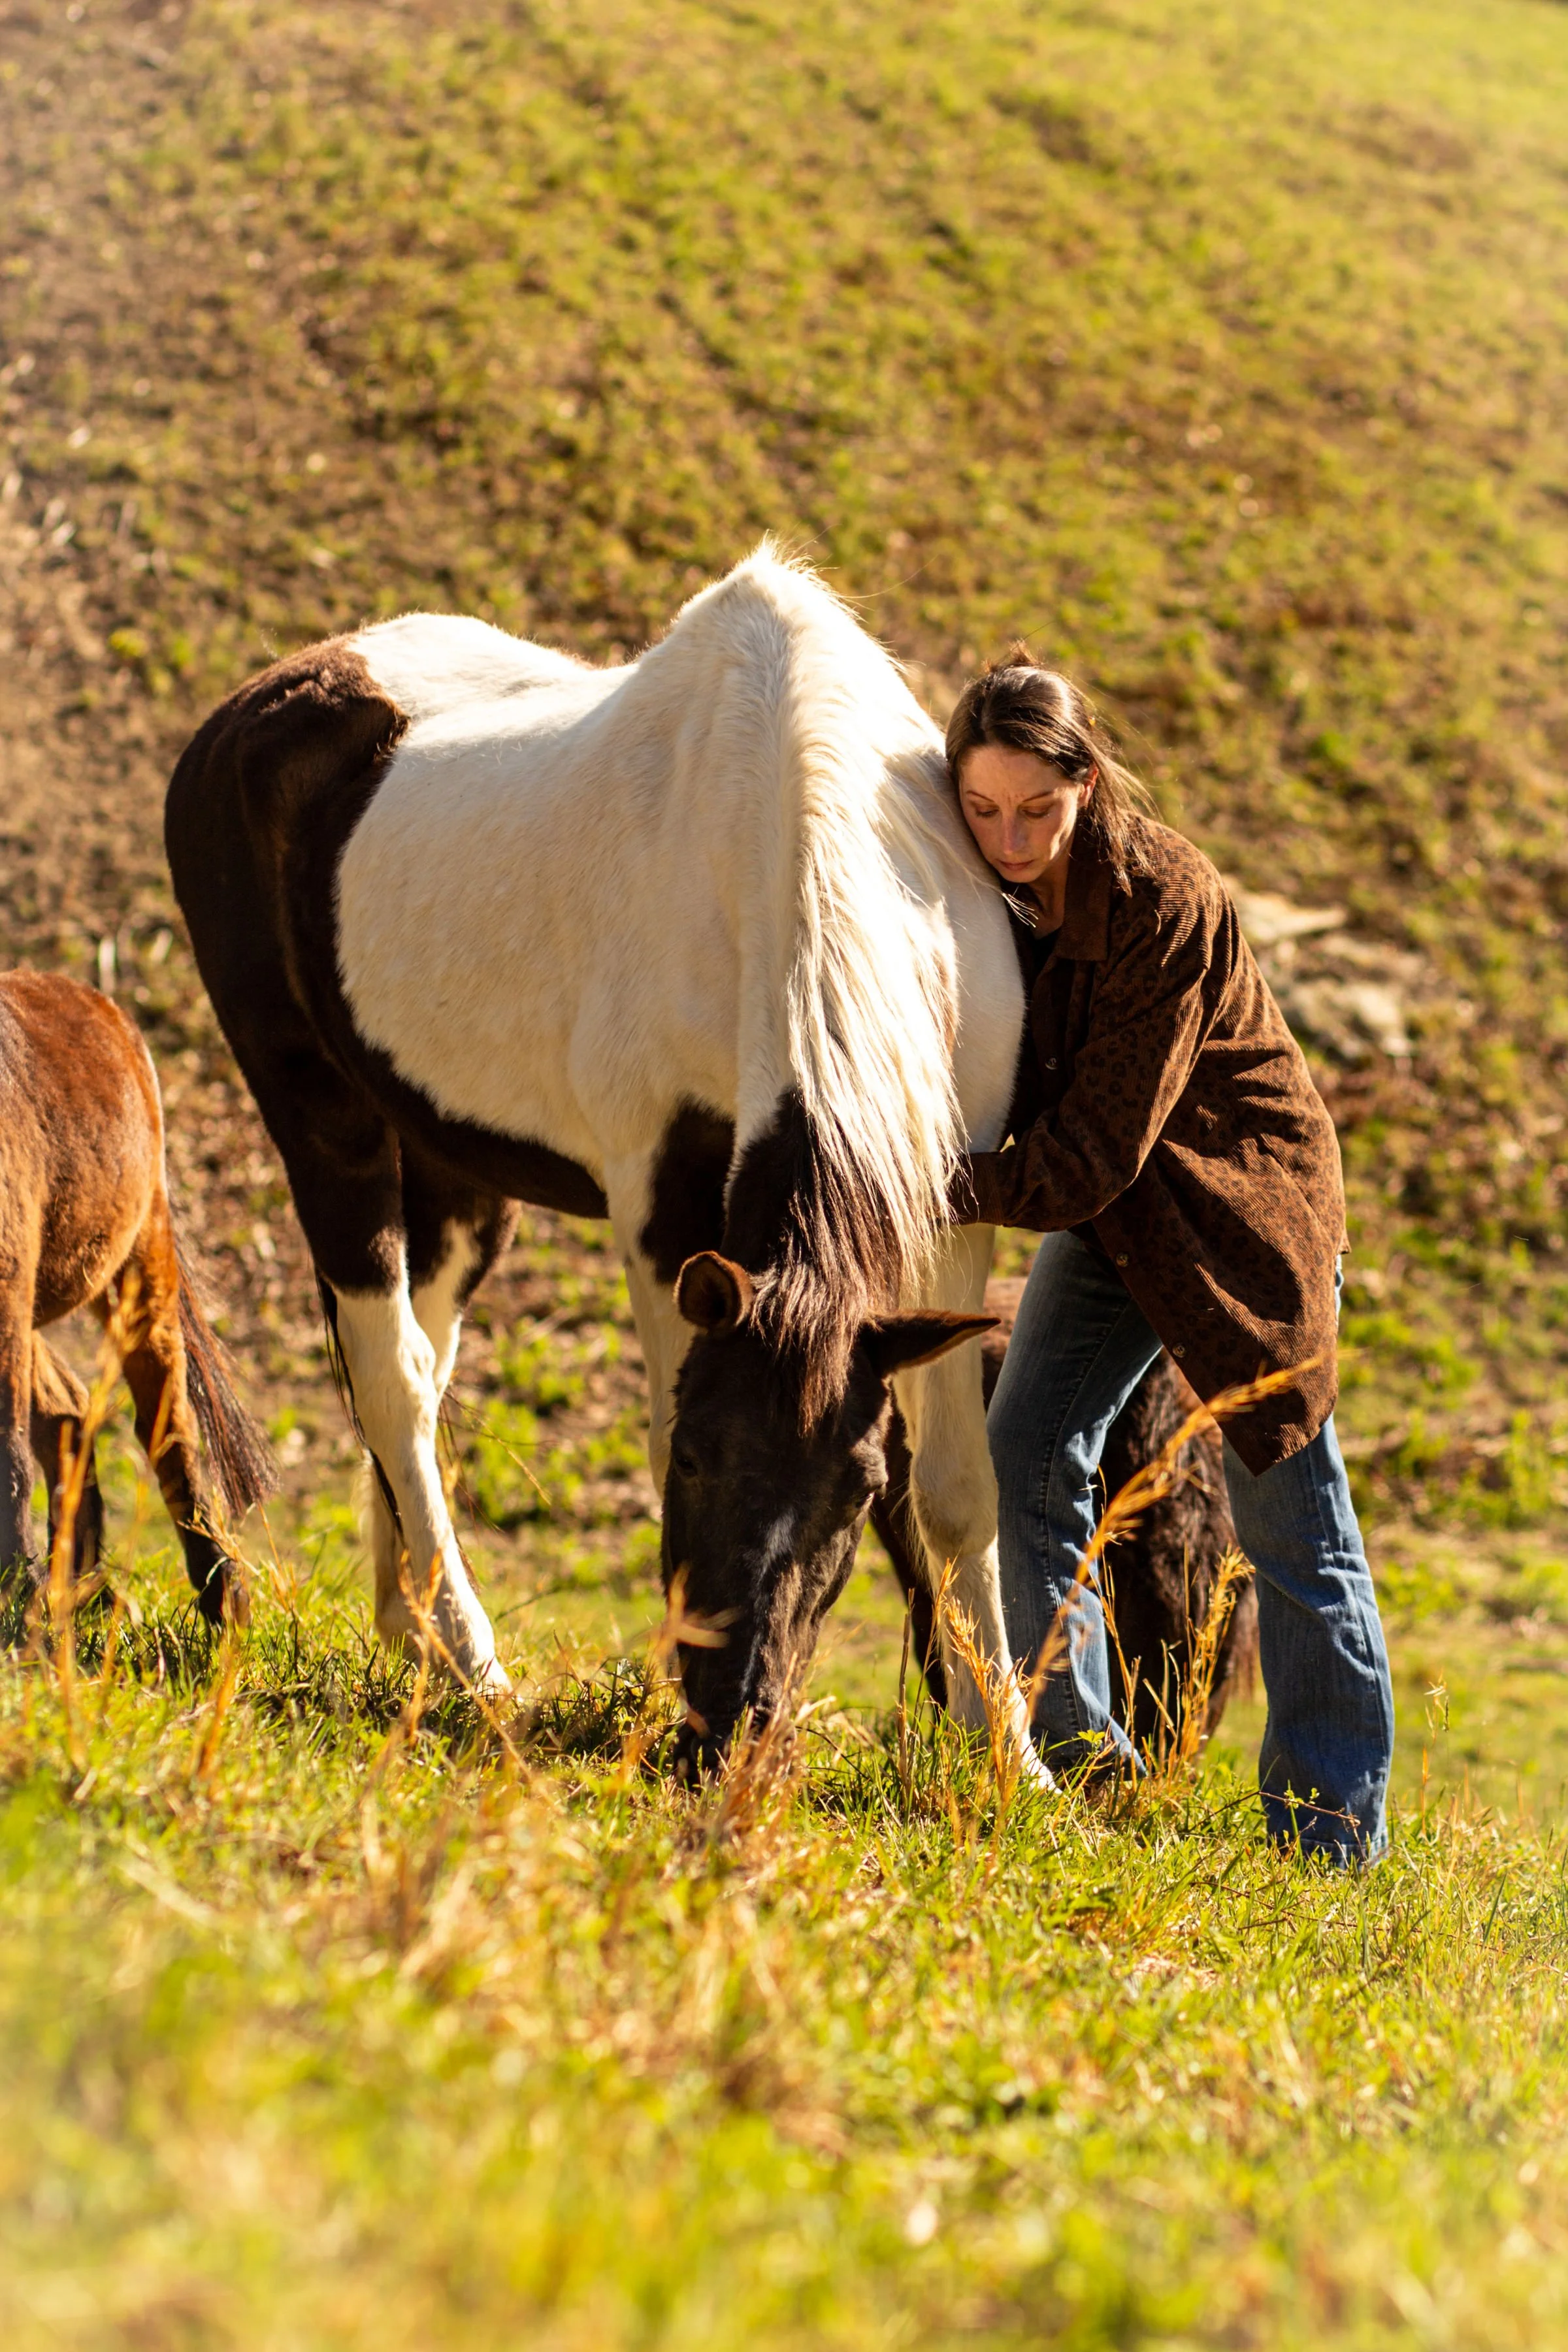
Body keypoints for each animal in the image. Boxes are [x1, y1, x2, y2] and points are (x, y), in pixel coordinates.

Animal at [0, 969, 276, 1619]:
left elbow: (10, 1463)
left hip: (141, 1260)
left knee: (167, 1424)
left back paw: (224, 1604)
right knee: (70, 1408)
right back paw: (77, 1592)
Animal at [164, 544, 1041, 1767]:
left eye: (858, 1490)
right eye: (700, 1464)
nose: (734, 1722)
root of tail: (246, 712)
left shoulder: (955, 1203)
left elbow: (958, 1484)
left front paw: (1010, 1751)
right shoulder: (665, 1214)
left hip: (457, 1178)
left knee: (424, 1368)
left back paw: (413, 1631)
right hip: (320, 1120)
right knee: (394, 1381)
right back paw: (473, 1662)